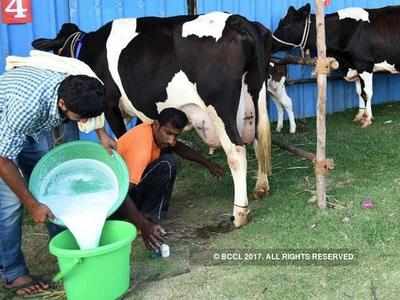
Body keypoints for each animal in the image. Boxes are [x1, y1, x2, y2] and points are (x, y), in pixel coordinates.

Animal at [33, 12, 272, 227]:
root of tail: (235, 19)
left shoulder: (110, 105)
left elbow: (122, 139)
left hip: (219, 106)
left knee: (237, 151)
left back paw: (239, 214)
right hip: (257, 94)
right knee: (259, 138)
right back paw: (261, 187)